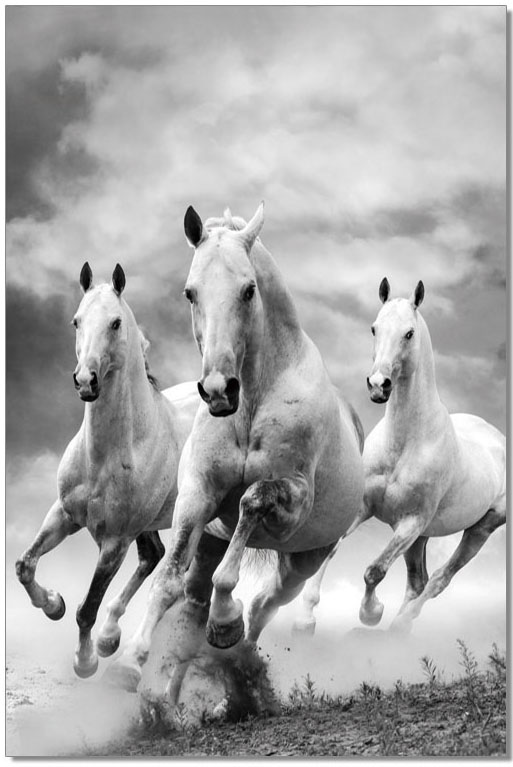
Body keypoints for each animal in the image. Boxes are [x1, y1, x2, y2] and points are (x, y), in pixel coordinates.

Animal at [15, 263, 198, 678]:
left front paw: (85, 661)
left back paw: (120, 650)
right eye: (76, 321)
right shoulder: (65, 515)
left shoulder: (115, 540)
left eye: (115, 322)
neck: (106, 455)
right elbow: (25, 565)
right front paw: (53, 604)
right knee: (153, 556)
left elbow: (87, 609)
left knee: (171, 574)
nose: (86, 380)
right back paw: (111, 638)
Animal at [108, 203, 365, 695]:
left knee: (267, 602)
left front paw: (225, 622)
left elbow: (251, 502)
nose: (217, 390)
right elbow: (168, 579)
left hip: (305, 558)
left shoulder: (292, 500)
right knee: (194, 604)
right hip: (212, 544)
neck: (250, 408)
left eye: (248, 290)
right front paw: (130, 661)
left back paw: (239, 653)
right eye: (190, 292)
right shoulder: (197, 495)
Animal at [358, 277, 506, 632]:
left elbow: (374, 571)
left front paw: (371, 613)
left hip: (480, 529)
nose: (378, 385)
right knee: (418, 582)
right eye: (374, 328)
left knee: (439, 580)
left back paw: (400, 625)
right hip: (422, 537)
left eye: (409, 333)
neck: (403, 445)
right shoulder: (365, 506)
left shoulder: (410, 523)